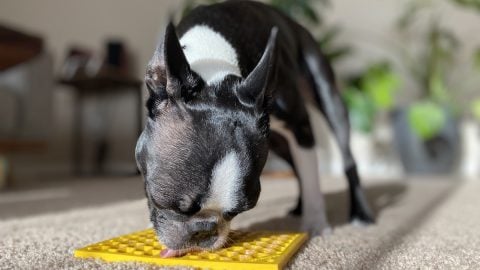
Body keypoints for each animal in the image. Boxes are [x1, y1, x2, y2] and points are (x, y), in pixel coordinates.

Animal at [135, 0, 376, 258]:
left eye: (237, 211)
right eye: (163, 200)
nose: (204, 231)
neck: (213, 65)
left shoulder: (300, 127)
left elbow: (312, 177)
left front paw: (316, 223)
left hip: (328, 98)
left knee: (346, 159)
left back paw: (360, 214)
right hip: (277, 143)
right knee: (296, 166)